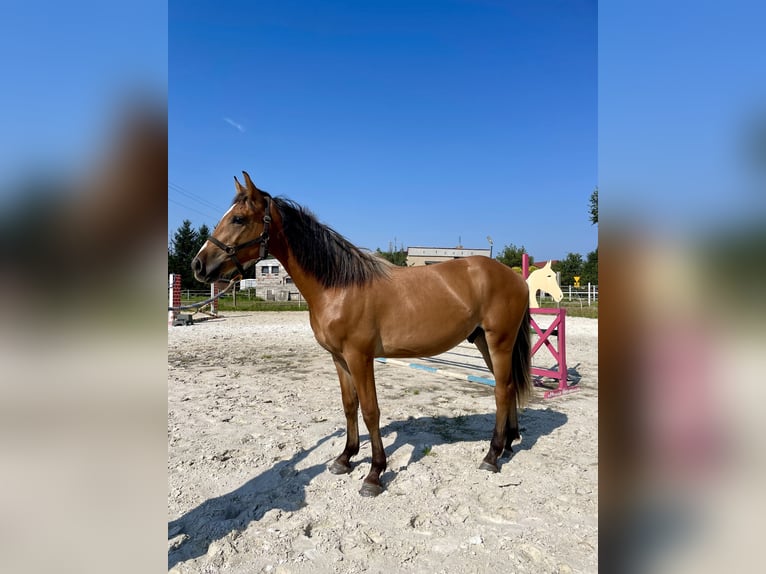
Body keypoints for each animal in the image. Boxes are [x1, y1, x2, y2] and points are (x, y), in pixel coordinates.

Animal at [190, 172, 536, 500]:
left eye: (238, 219)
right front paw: (345, 458)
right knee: (507, 387)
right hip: (484, 342)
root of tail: (515, 278)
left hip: (499, 342)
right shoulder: (339, 358)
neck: (339, 287)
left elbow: (371, 410)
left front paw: (374, 473)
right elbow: (349, 405)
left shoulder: (360, 357)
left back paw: (492, 455)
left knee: (502, 390)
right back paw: (508, 443)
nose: (198, 265)